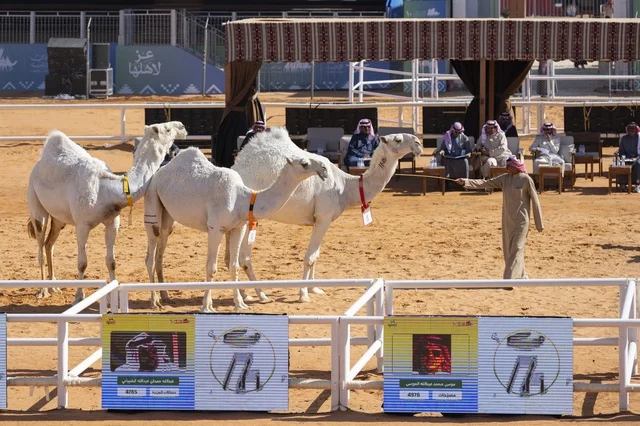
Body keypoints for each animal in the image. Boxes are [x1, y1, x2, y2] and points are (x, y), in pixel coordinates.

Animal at [27, 121, 187, 302]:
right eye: (167, 128)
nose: (182, 127)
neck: (107, 189)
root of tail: (37, 166)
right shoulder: (82, 225)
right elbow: (82, 263)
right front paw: (79, 296)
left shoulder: (112, 221)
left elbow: (111, 261)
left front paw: (113, 296)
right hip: (35, 202)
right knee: (40, 244)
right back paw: (42, 291)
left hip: (58, 218)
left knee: (49, 245)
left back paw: (54, 287)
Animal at [143, 128, 329, 312]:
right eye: (304, 163)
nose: (324, 168)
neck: (242, 199)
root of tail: (160, 172)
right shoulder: (215, 228)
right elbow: (211, 267)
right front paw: (206, 306)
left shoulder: (238, 227)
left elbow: (234, 265)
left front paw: (240, 304)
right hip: (152, 197)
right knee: (151, 253)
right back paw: (154, 301)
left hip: (168, 216)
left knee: (161, 251)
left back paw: (165, 295)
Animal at [231, 130, 423, 302]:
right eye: (398, 139)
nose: (418, 143)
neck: (345, 187)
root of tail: (236, 167)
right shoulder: (324, 216)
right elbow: (310, 257)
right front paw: (303, 295)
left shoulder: (320, 220)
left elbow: (316, 255)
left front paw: (314, 288)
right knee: (244, 257)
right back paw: (261, 295)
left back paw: (246, 294)